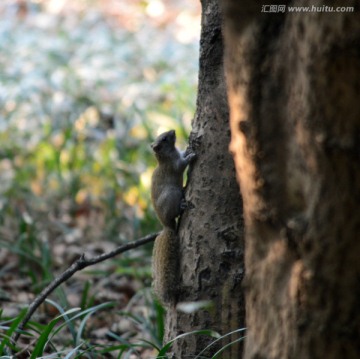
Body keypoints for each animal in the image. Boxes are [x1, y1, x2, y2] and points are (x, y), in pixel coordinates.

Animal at [150, 131, 195, 306]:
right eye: (164, 139)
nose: (173, 131)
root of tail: (166, 225)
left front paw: (188, 147)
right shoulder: (174, 165)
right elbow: (181, 165)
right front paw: (191, 156)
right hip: (172, 194)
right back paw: (181, 206)